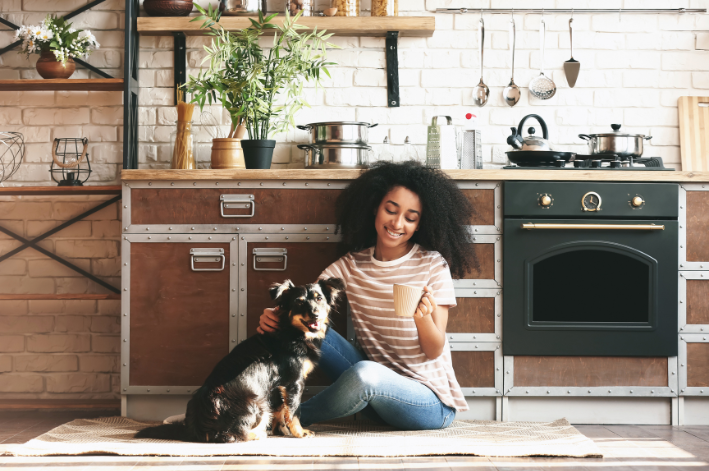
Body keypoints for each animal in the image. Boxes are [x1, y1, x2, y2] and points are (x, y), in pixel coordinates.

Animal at [134, 278, 344, 444]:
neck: (291, 331)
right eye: (299, 303)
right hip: (256, 403)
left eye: (319, 298)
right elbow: (293, 410)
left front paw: (281, 430)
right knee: (228, 435)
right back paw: (257, 433)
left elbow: (280, 410)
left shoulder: (277, 385)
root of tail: (194, 427)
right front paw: (300, 432)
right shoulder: (294, 382)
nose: (316, 314)